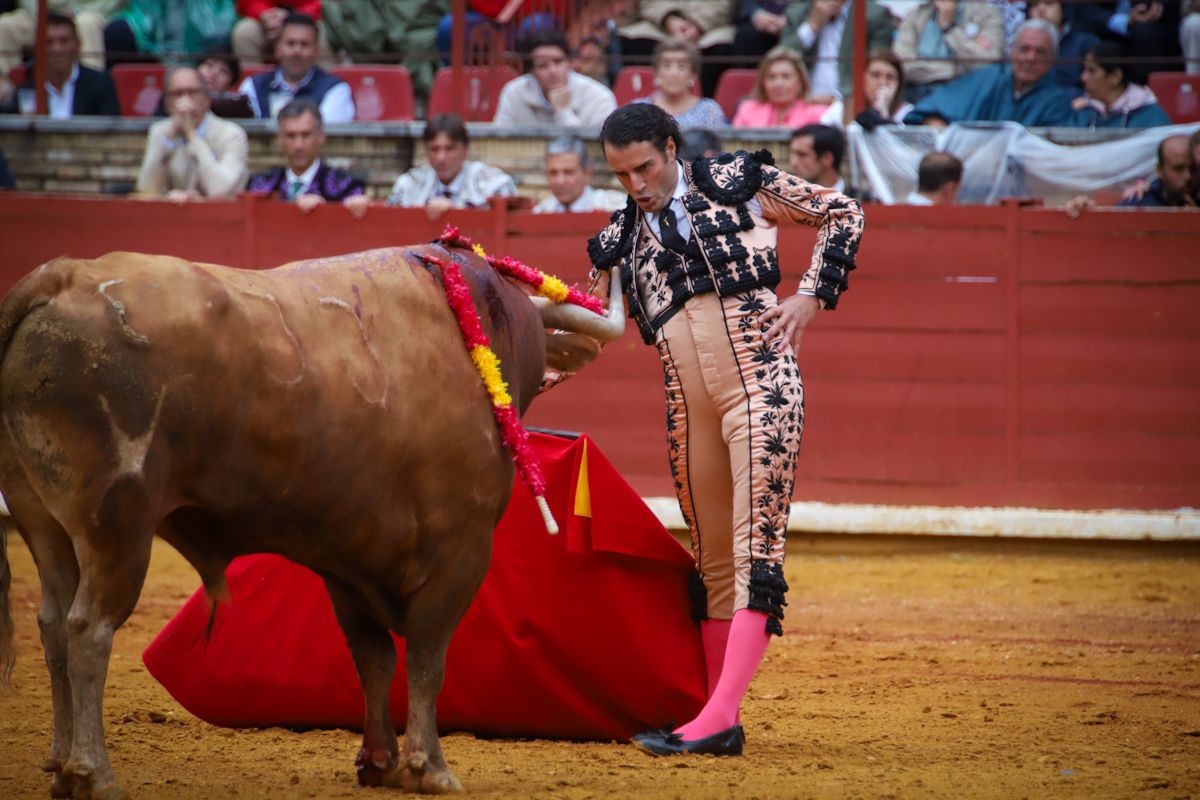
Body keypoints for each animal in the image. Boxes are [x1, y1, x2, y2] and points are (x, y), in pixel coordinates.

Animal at [0, 245, 624, 800]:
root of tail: (59, 278)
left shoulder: (349, 560)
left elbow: (374, 658)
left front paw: (379, 761)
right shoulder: (461, 552)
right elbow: (427, 659)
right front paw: (430, 768)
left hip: (42, 524)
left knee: (52, 623)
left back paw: (60, 766)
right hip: (116, 526)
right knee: (89, 628)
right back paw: (95, 774)